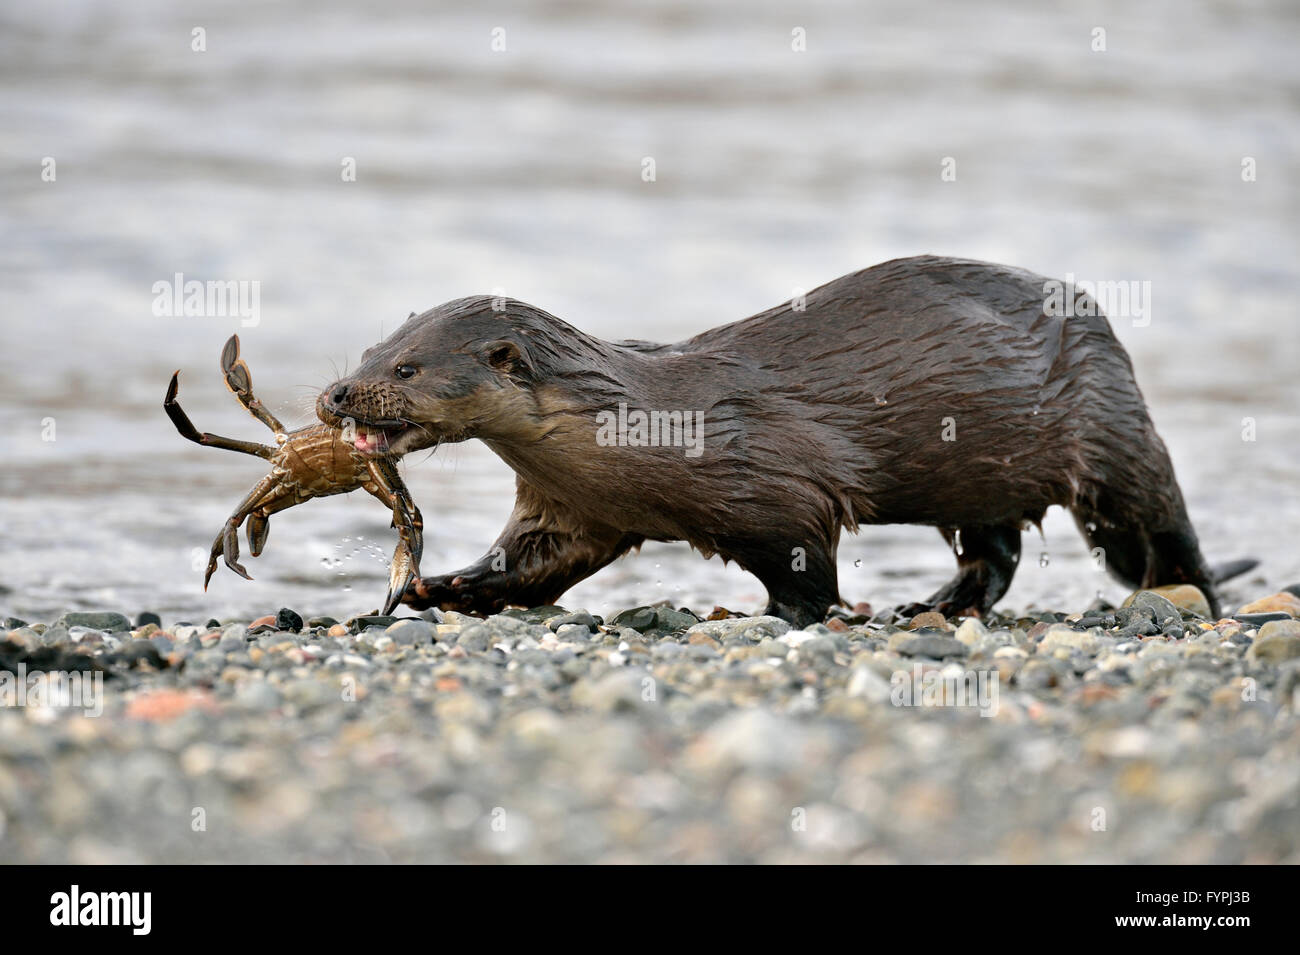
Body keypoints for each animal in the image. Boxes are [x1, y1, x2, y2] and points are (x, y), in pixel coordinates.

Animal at [317, 255, 1227, 628]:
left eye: (405, 367)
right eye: (366, 350)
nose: (334, 394)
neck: (637, 423)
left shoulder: (772, 486)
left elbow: (804, 563)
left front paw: (784, 613)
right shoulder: (574, 509)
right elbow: (529, 563)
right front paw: (441, 587)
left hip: (1109, 423)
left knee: (1161, 516)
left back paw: (1195, 593)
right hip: (983, 475)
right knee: (995, 550)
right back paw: (937, 603)